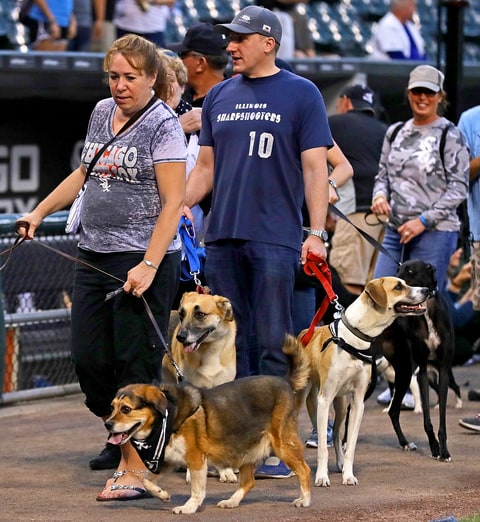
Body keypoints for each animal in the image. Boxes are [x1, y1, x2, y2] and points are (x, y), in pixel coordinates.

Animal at [290, 276, 430, 488]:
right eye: (398, 286)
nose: (427, 290)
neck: (353, 338)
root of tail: (305, 332)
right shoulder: (324, 399)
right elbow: (322, 447)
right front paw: (321, 477)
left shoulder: (357, 402)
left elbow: (351, 446)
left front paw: (348, 475)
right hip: (304, 396)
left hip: (340, 405)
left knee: (337, 434)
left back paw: (339, 463)